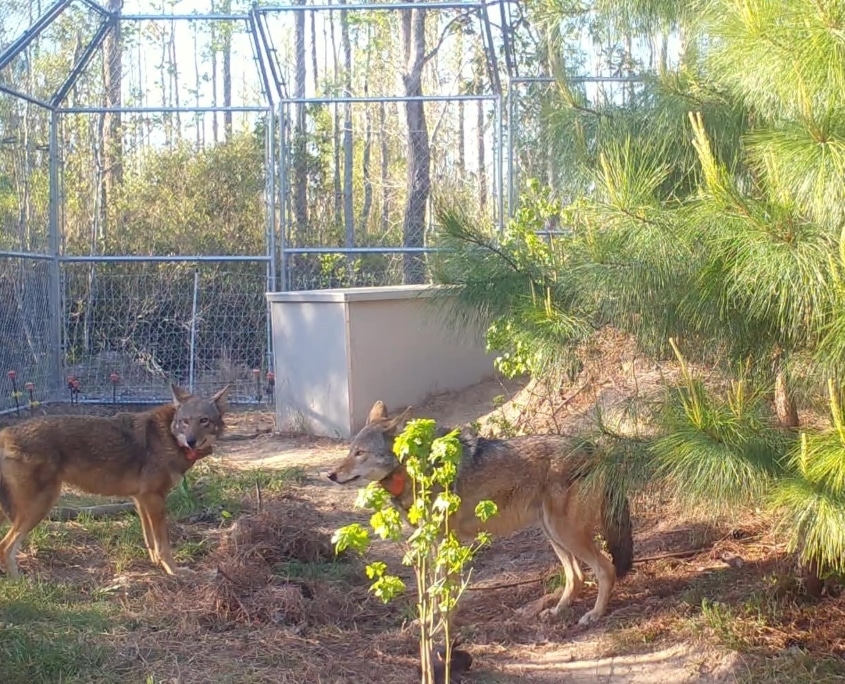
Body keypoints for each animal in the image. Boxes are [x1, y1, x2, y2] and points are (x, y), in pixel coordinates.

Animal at [0, 384, 230, 578]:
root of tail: (7, 432)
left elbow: (150, 540)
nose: (191, 441)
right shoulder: (154, 498)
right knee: (6, 546)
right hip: (39, 507)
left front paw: (156, 564)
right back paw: (20, 582)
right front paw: (174, 571)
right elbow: (163, 544)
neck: (169, 438)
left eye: (204, 420)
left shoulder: (142, 500)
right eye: (185, 421)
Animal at [327, 401, 633, 626]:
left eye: (360, 453)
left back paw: (594, 615)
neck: (415, 471)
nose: (330, 475)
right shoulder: (436, 543)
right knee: (576, 577)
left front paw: (442, 625)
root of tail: (596, 448)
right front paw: (427, 624)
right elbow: (434, 590)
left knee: (605, 569)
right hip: (553, 534)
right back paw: (556, 612)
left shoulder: (446, 542)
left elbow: (444, 591)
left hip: (565, 533)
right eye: (350, 451)